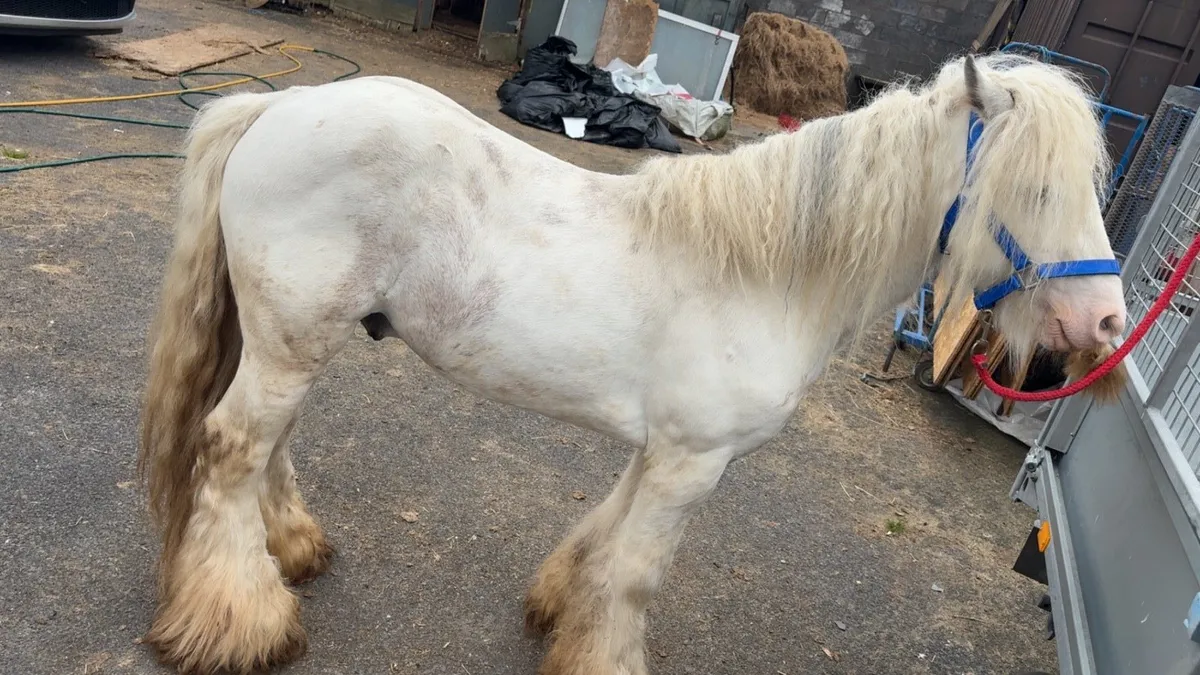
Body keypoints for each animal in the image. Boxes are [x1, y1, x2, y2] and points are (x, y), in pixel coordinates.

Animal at [137, 52, 1127, 674]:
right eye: (1035, 187)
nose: (1108, 318)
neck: (763, 272)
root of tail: (277, 105)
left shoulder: (663, 450)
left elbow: (605, 539)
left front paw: (556, 606)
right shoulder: (694, 460)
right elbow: (637, 575)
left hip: (294, 340)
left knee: (268, 445)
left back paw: (293, 549)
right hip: (289, 341)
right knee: (233, 447)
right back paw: (243, 624)